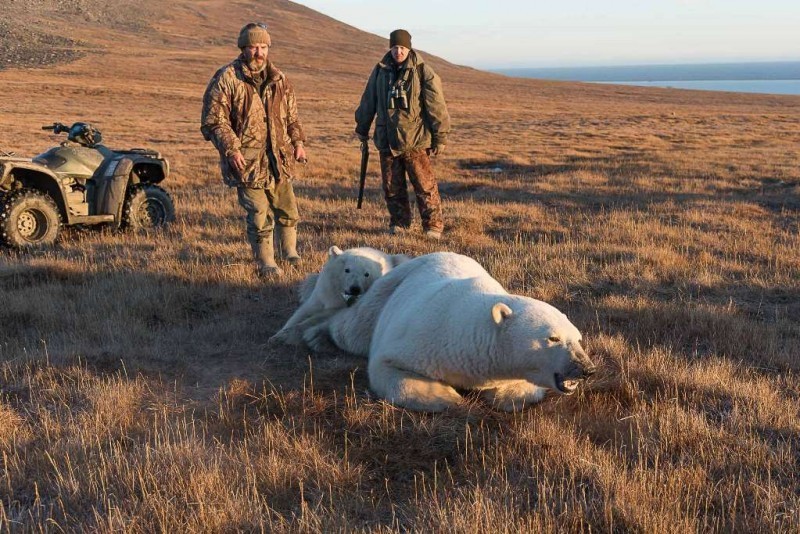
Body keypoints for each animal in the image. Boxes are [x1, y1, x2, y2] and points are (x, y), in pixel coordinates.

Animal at [270, 247, 406, 348]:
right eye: (347, 270)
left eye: (367, 274)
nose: (355, 288)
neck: (341, 295)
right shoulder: (325, 291)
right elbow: (304, 310)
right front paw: (277, 335)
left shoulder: (344, 305)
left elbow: (323, 316)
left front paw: (289, 335)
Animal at [304, 253, 596, 412]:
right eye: (553, 338)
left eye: (578, 339)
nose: (587, 369)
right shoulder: (422, 336)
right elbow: (387, 368)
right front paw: (447, 396)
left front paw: (506, 395)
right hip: (387, 290)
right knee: (353, 327)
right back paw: (315, 335)